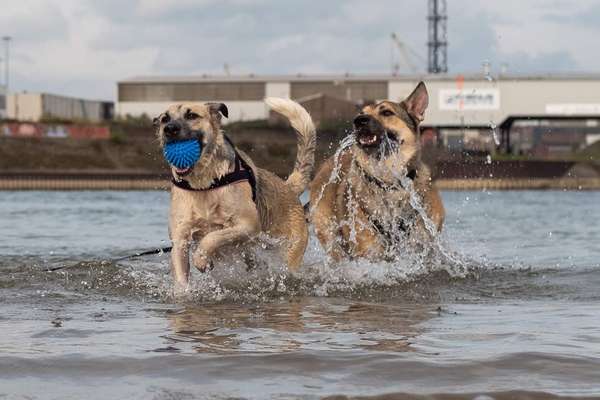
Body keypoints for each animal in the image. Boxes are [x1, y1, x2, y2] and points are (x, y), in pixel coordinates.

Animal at [152, 99, 316, 290]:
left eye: (191, 115)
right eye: (164, 119)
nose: (169, 129)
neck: (203, 184)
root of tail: (288, 187)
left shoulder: (248, 225)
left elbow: (211, 237)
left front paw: (201, 259)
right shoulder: (180, 239)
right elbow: (181, 276)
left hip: (288, 252)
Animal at [312, 83, 442, 260]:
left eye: (386, 112)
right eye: (361, 113)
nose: (358, 121)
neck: (388, 181)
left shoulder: (422, 245)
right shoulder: (369, 252)